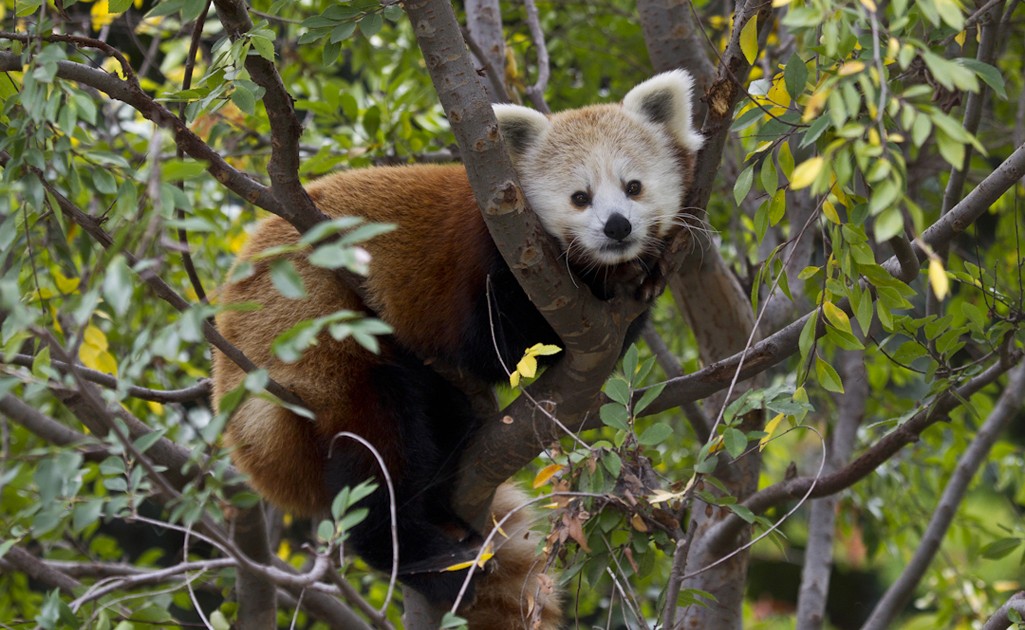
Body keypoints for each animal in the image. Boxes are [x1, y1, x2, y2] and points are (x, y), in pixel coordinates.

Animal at [211, 70, 701, 626]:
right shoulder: (487, 263)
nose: (617, 227)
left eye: (633, 187)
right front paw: (609, 278)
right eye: (580, 197)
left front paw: (647, 273)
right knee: (376, 449)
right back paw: (423, 556)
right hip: (308, 354)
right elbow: (501, 348)